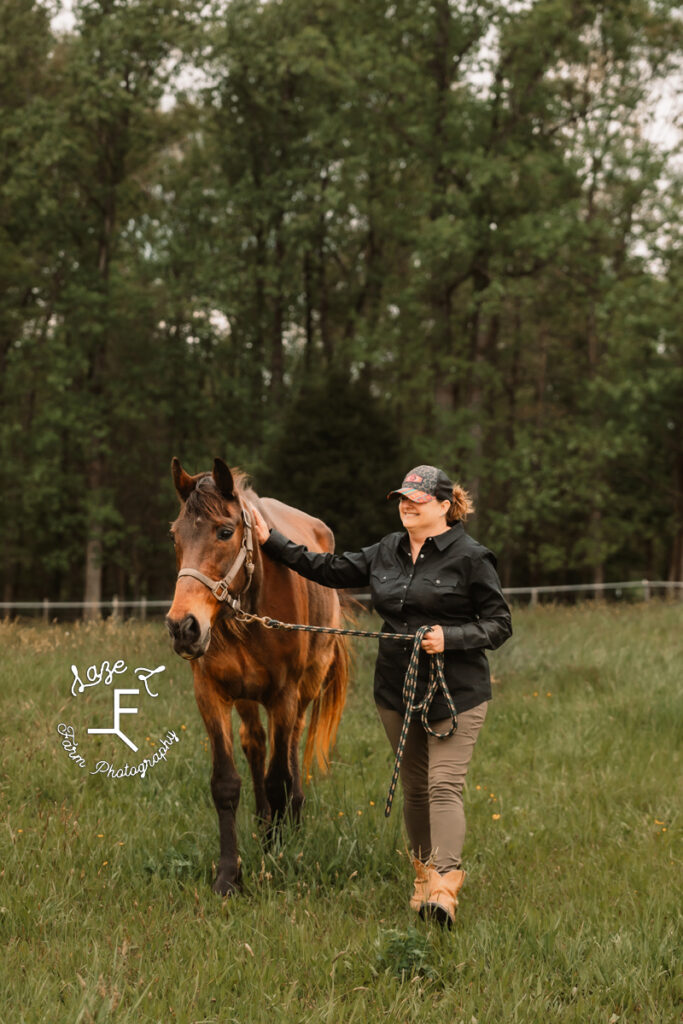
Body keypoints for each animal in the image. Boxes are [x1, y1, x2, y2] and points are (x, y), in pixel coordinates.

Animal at [164, 458, 348, 897]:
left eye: (224, 532)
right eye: (175, 535)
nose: (183, 627)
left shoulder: (283, 695)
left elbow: (279, 776)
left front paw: (277, 852)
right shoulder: (210, 695)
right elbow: (226, 783)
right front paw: (229, 875)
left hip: (305, 688)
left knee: (291, 744)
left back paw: (291, 821)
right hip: (247, 698)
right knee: (255, 744)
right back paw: (265, 823)